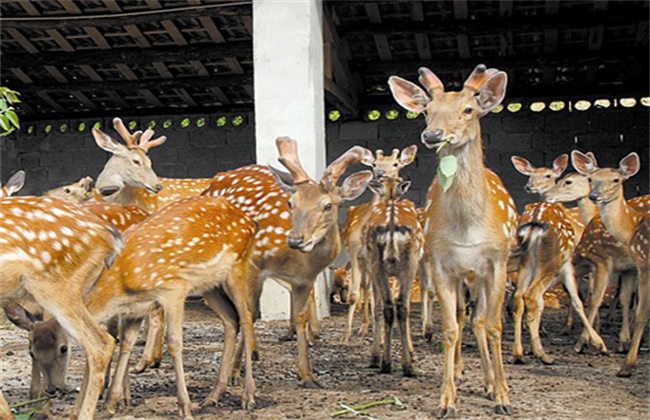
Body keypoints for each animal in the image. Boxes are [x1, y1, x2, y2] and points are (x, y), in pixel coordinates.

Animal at [202, 139, 372, 390]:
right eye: (291, 203)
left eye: (328, 205)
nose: (295, 240)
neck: (299, 262)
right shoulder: (253, 265)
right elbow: (248, 314)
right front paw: (234, 373)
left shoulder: (305, 280)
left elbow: (300, 317)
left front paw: (307, 375)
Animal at [340, 146, 416, 342]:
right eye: (374, 163)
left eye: (396, 163)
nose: (380, 173)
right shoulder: (354, 254)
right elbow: (354, 295)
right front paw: (346, 336)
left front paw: (381, 337)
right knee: (366, 288)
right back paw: (364, 327)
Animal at [362, 176, 422, 376]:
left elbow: (379, 307)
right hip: (408, 264)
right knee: (400, 306)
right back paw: (402, 365)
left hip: (379, 264)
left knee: (391, 306)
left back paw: (388, 363)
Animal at [384, 64, 516, 416]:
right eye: (427, 112)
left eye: (468, 110)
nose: (432, 135)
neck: (467, 228)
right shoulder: (442, 264)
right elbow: (450, 329)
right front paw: (446, 401)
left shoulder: (498, 261)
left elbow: (495, 327)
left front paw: (503, 397)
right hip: (460, 275)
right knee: (462, 317)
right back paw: (460, 372)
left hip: (480, 274)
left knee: (480, 321)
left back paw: (490, 383)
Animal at [572, 151, 648, 378]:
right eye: (590, 179)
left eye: (616, 180)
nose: (594, 196)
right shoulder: (630, 268)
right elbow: (624, 299)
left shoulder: (632, 263)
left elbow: (638, 312)